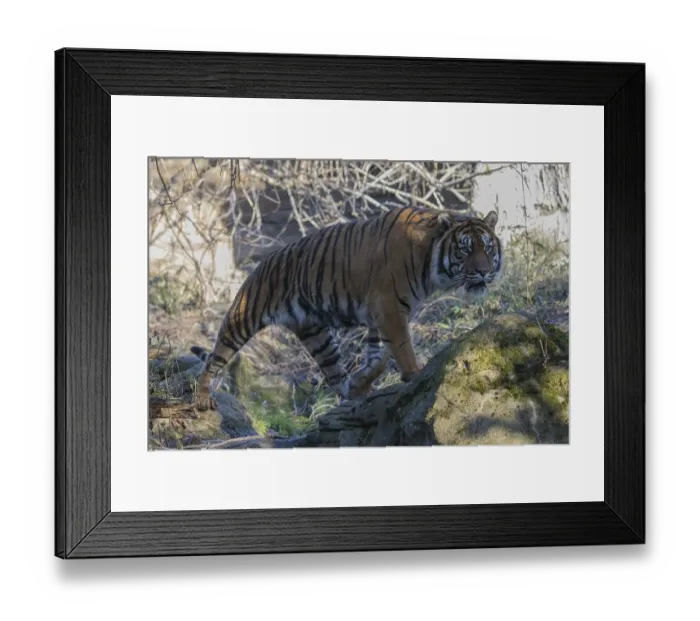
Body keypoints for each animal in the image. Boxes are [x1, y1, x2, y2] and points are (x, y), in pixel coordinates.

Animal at [193, 206, 503, 411]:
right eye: (464, 249)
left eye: (488, 247)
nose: (484, 272)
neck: (429, 258)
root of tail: (264, 259)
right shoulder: (389, 308)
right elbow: (402, 346)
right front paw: (414, 372)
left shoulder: (380, 315)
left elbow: (379, 356)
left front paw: (367, 378)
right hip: (244, 316)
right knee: (215, 358)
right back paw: (203, 397)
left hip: (317, 335)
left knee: (335, 378)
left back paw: (355, 389)